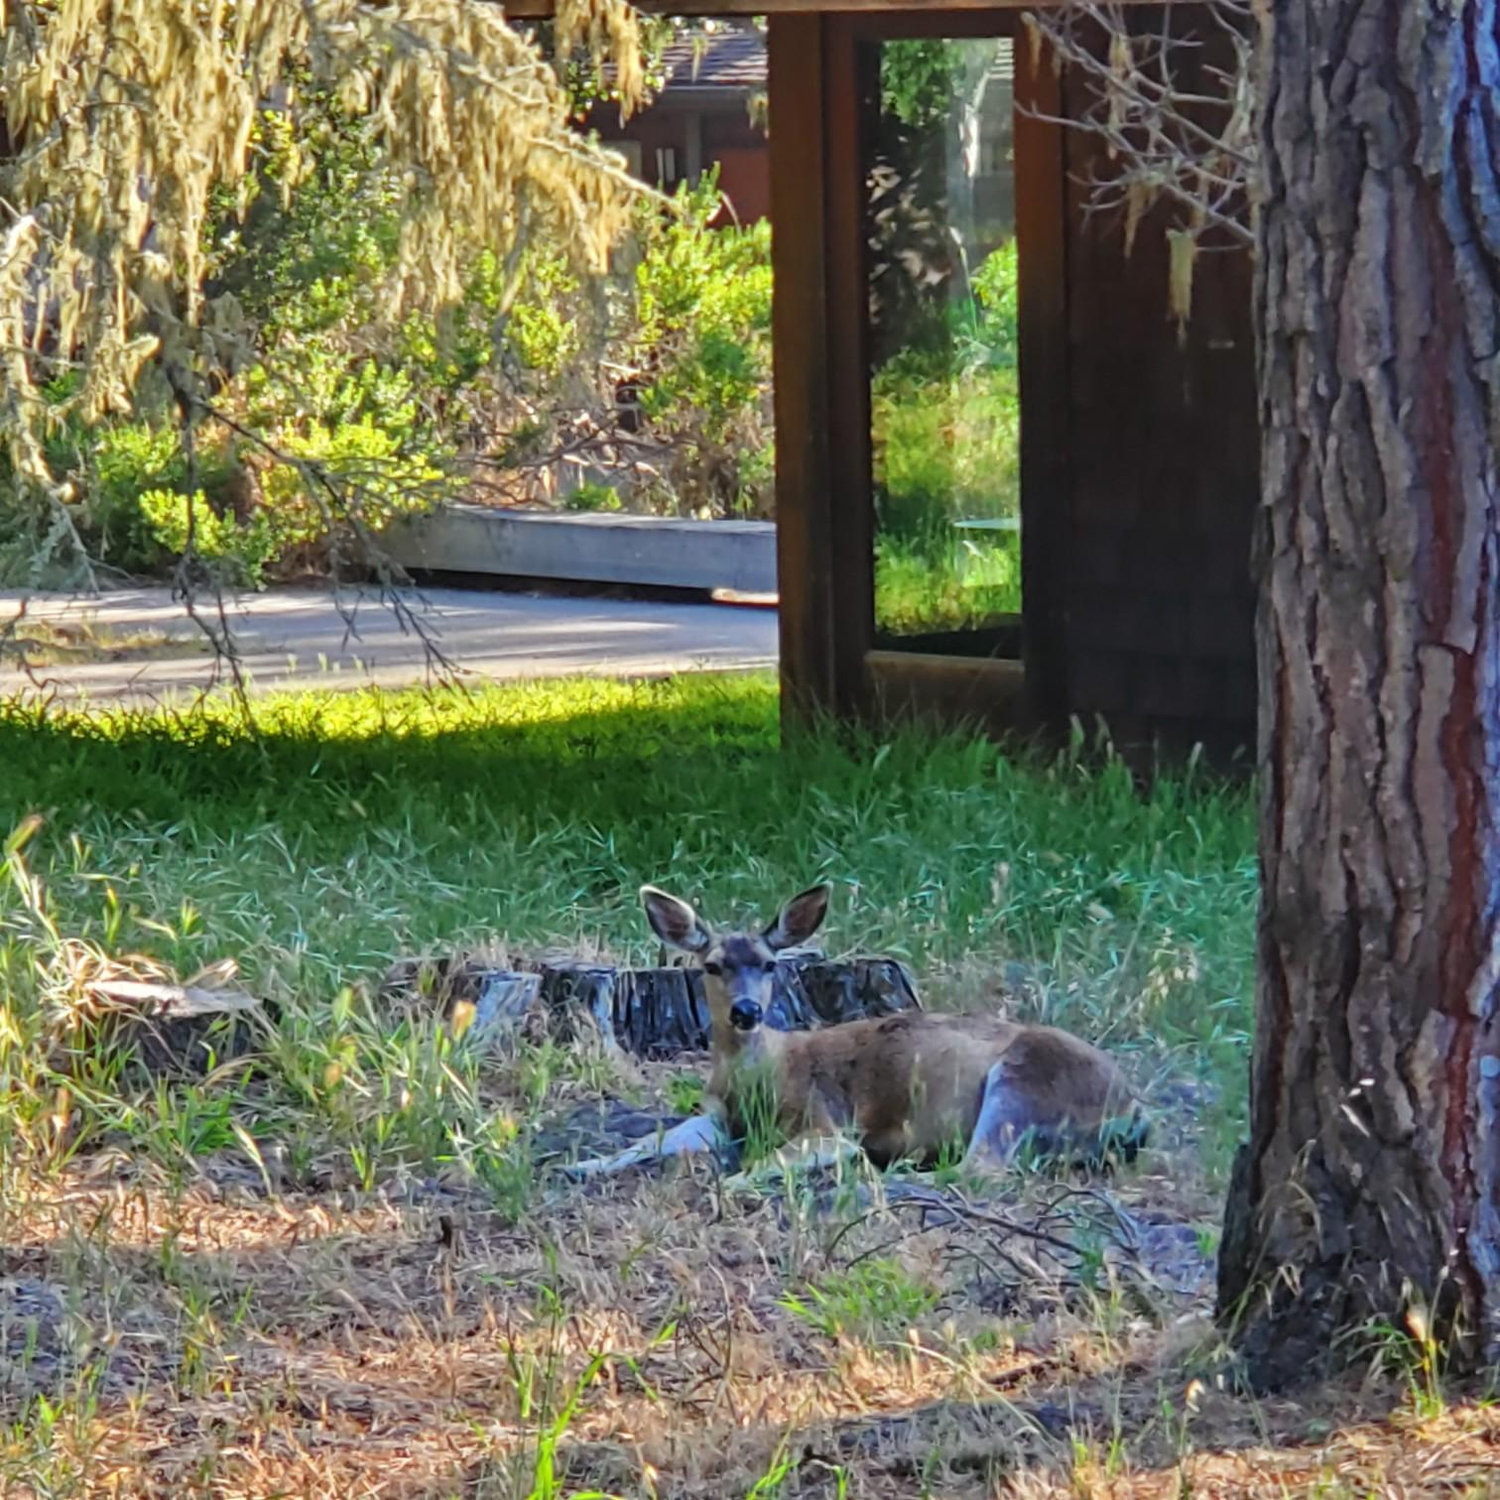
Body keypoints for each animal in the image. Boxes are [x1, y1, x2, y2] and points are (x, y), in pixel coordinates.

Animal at [561, 882, 1148, 1185]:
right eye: (711, 965)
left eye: (770, 964)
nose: (747, 1010)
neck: (761, 1079)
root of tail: (1136, 1110)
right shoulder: (717, 1116)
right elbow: (650, 1139)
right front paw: (580, 1165)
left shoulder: (826, 1120)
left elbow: (765, 1164)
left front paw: (731, 1183)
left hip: (1025, 1080)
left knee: (980, 1169)